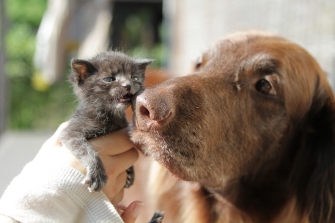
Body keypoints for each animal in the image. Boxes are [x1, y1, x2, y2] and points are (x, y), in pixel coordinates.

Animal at [61, 50, 153, 192]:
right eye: (109, 79)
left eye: (134, 78)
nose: (127, 85)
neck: (110, 115)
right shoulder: (71, 133)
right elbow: (87, 151)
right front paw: (97, 175)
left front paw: (131, 172)